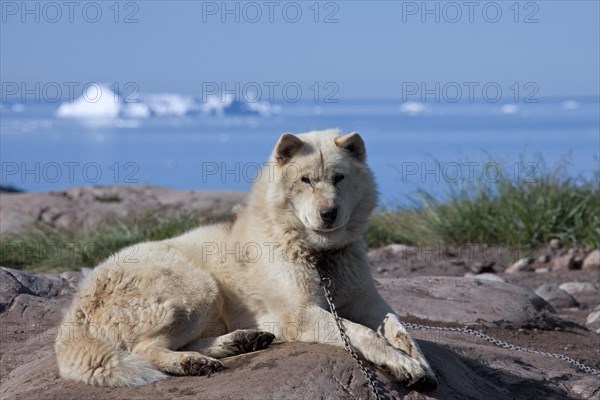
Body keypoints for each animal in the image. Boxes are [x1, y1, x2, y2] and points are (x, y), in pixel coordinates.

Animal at [55, 130, 436, 390]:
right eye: (306, 180)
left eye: (339, 178)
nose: (329, 214)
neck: (318, 253)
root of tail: (75, 314)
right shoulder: (300, 314)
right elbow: (364, 334)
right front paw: (401, 364)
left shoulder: (367, 301)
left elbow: (398, 327)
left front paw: (419, 361)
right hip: (198, 287)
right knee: (145, 349)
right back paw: (191, 362)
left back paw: (239, 341)